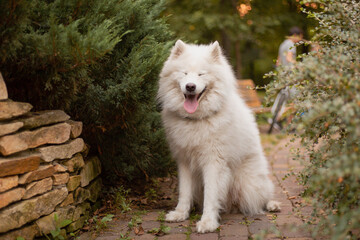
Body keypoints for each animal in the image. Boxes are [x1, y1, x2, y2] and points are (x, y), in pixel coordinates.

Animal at [157, 40, 278, 233]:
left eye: (201, 74)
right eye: (184, 73)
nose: (190, 86)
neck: (196, 120)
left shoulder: (213, 162)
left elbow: (211, 195)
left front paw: (207, 222)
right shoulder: (184, 161)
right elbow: (184, 192)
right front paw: (180, 214)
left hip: (248, 185)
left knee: (261, 199)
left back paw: (272, 204)